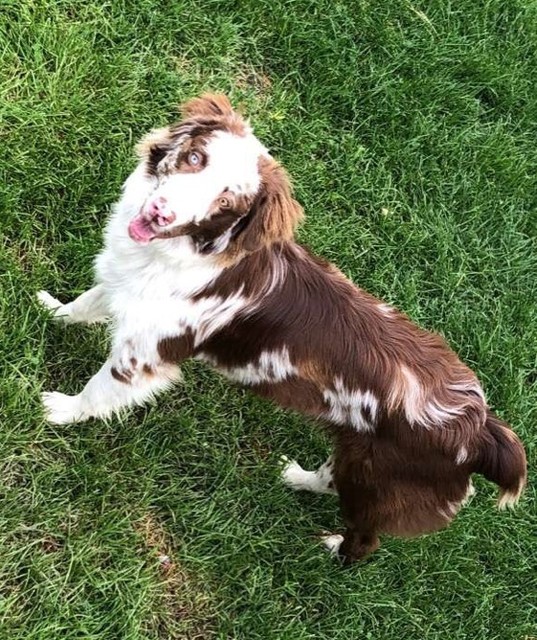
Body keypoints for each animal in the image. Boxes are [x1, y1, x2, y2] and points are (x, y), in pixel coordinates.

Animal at [39, 92, 524, 564]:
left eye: (225, 204)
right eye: (195, 157)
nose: (160, 212)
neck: (182, 252)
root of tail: (480, 428)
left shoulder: (145, 356)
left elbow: (99, 390)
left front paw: (60, 411)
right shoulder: (124, 287)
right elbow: (86, 303)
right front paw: (51, 311)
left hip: (380, 481)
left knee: (366, 540)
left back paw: (332, 549)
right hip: (357, 456)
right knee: (330, 478)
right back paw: (298, 477)